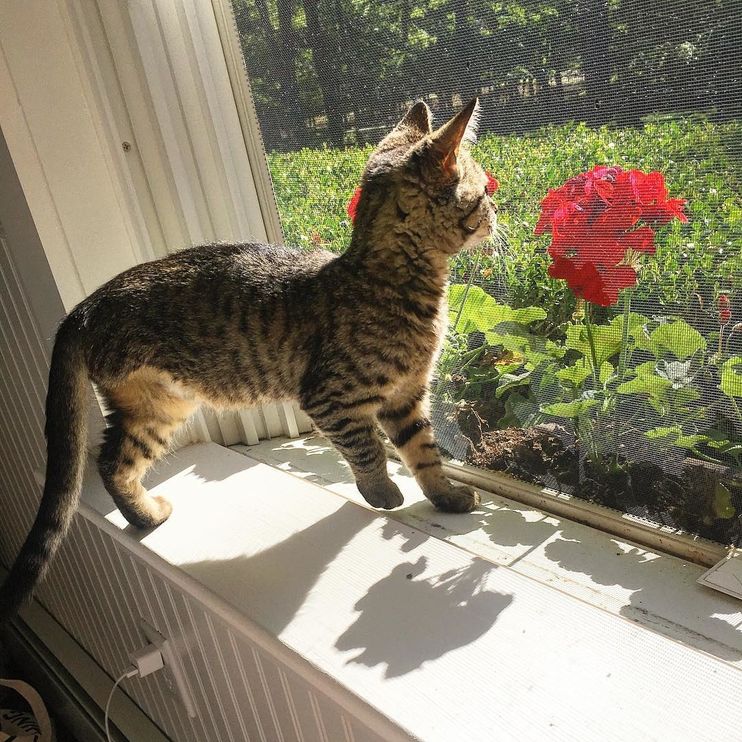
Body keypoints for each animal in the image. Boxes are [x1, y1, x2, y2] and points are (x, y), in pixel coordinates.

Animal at [1, 100, 500, 620]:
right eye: (483, 192)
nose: (498, 212)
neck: (390, 281)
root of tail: (84, 305)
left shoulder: (406, 396)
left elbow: (424, 453)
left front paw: (445, 496)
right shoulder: (331, 399)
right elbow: (368, 451)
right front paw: (381, 493)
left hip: (158, 408)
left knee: (114, 460)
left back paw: (143, 515)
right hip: (158, 403)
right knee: (105, 461)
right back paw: (146, 516)